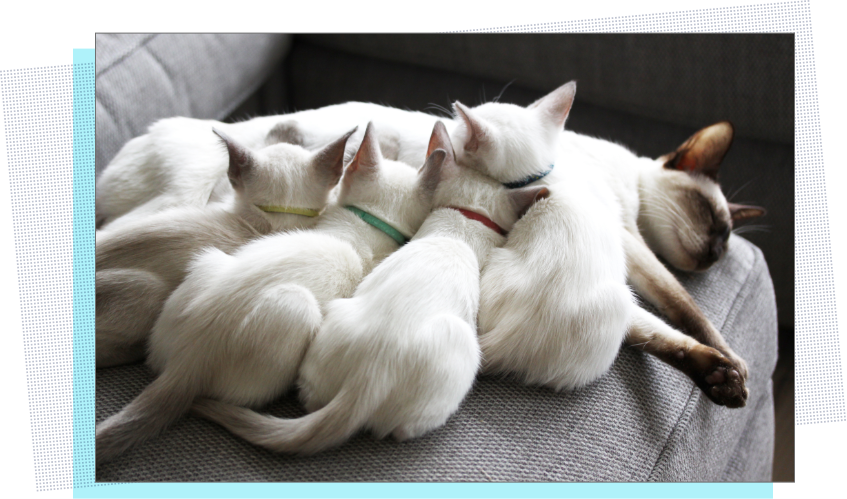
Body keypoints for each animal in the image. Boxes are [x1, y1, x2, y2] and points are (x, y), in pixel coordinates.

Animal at [189, 122, 552, 458]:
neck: (459, 226)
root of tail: (370, 375)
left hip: (333, 320)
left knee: (311, 401)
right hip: (465, 349)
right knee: (403, 429)